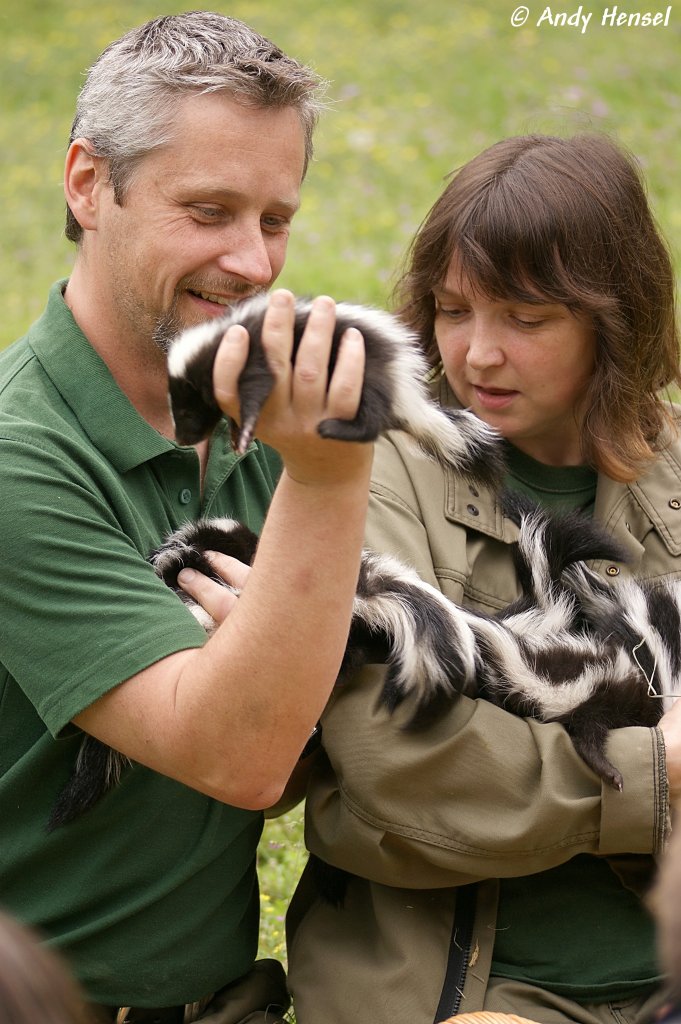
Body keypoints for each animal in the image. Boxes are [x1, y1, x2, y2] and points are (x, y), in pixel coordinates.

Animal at [164, 294, 503, 489]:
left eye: (186, 411)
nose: (182, 437)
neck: (221, 339)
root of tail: (403, 392)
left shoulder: (255, 351)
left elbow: (255, 388)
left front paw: (244, 429)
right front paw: (237, 433)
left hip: (366, 374)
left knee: (372, 418)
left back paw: (336, 427)